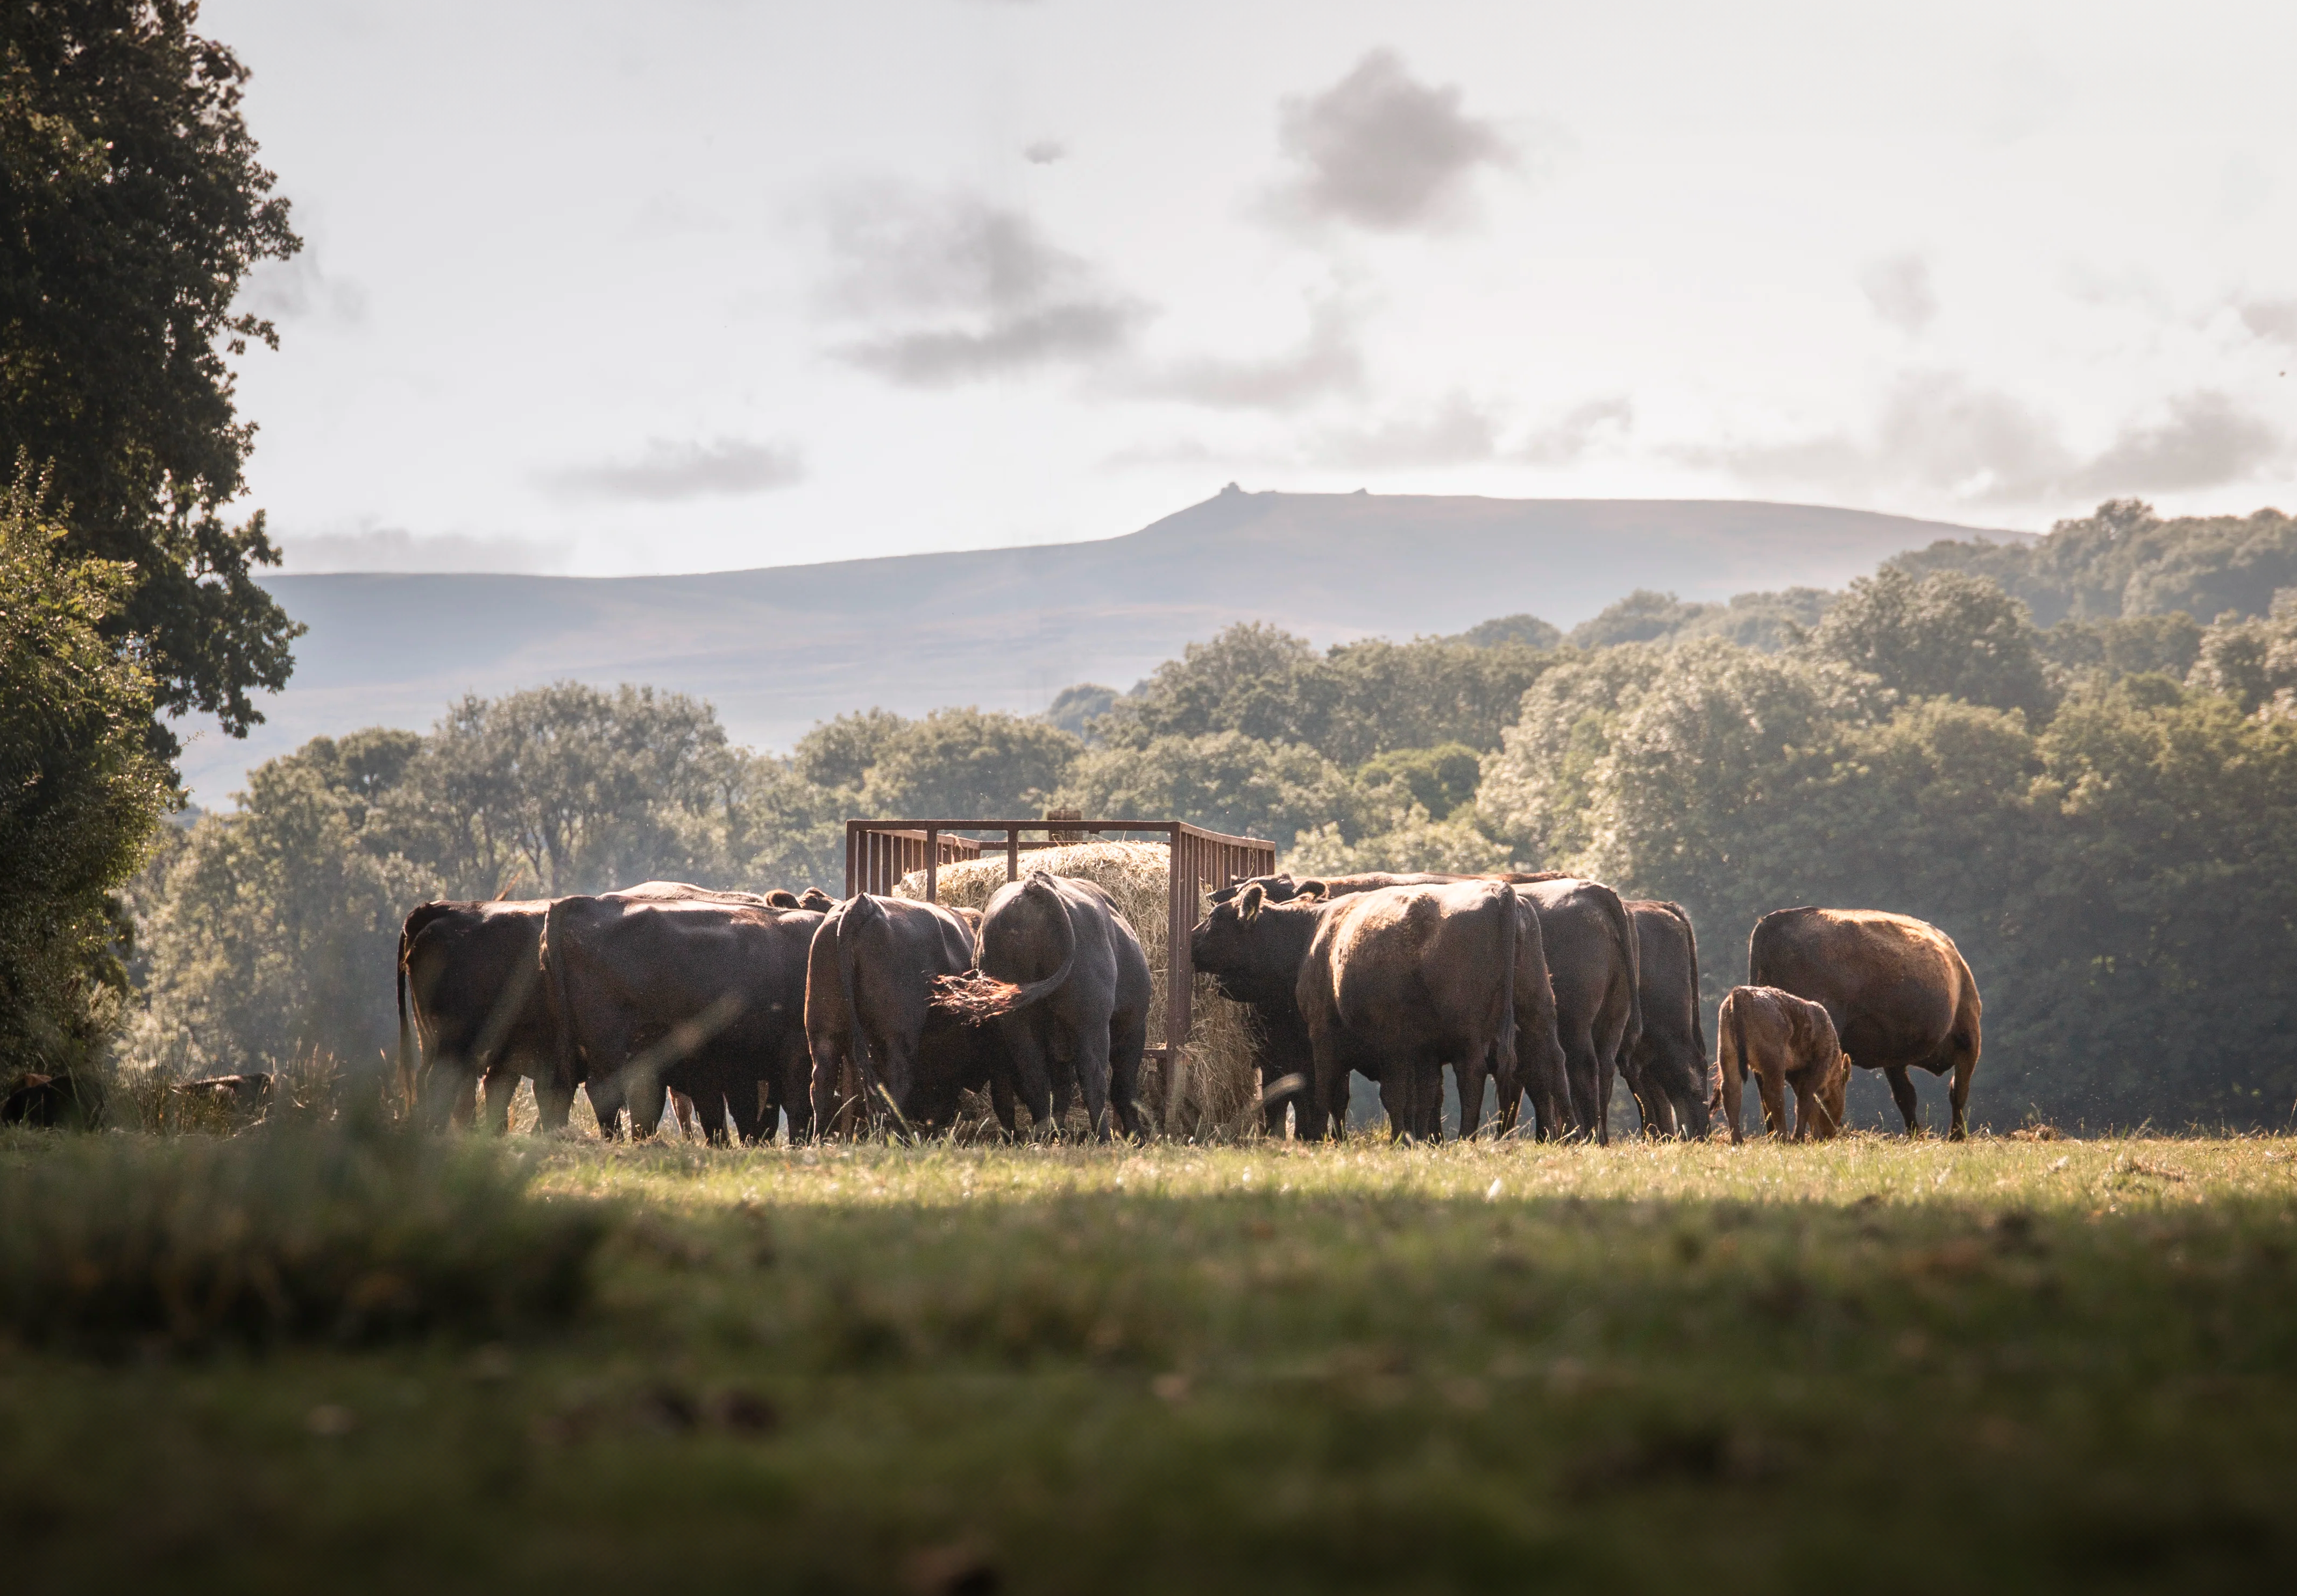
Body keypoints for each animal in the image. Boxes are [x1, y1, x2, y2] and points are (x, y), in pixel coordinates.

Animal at [1718, 987, 1856, 1148]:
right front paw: (1799, 1138)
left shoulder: (1795, 1075)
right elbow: (1805, 1103)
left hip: (1727, 1053)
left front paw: (1815, 1137)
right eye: (1837, 1094)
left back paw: (1737, 1141)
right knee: (1773, 1096)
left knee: (1731, 1092)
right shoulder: (1817, 1068)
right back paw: (1785, 1138)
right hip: (1774, 1060)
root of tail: (1740, 993)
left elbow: (1812, 1105)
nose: (1830, 1133)